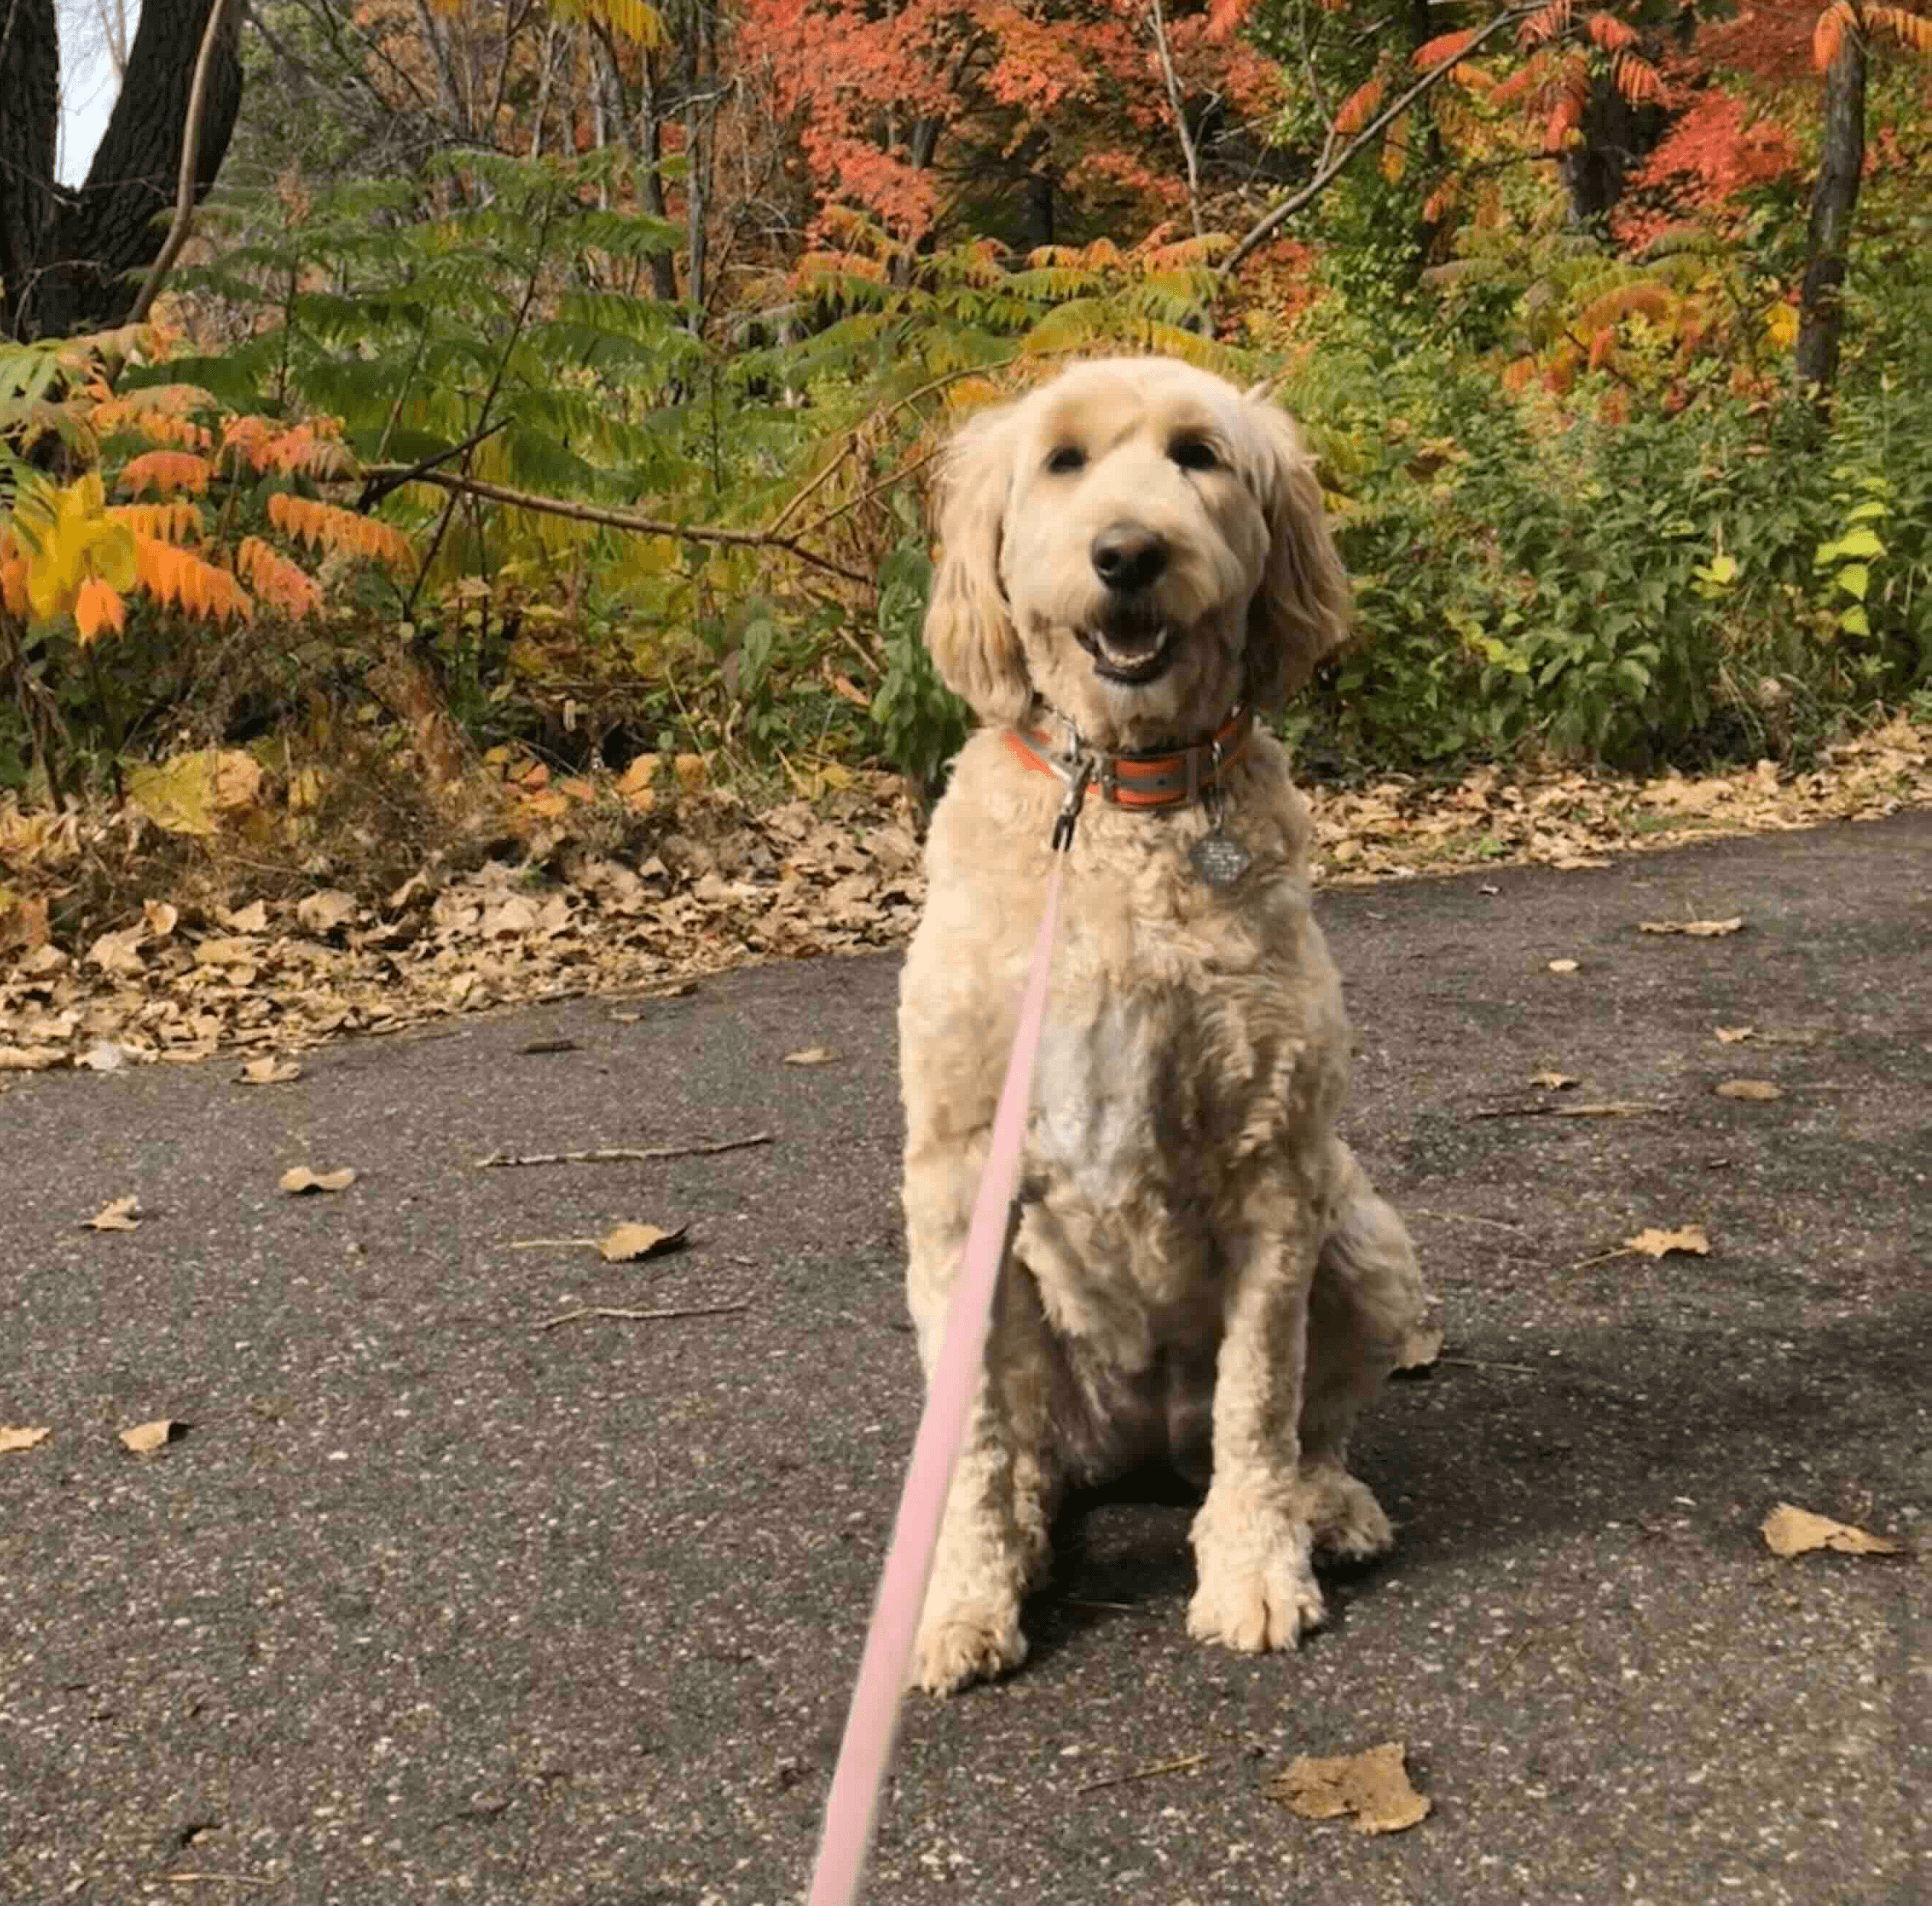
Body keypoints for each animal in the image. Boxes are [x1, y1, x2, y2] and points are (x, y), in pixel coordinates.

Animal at [896, 357, 1429, 1699]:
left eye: (1197, 455)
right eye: (1062, 461)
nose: (1129, 553)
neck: (1122, 804)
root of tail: (1134, 1449)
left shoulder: (1274, 1167)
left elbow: (1260, 1399)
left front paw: (1255, 1571)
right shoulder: (955, 1183)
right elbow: (973, 1440)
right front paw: (960, 1598)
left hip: (1367, 1243)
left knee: (1303, 1423)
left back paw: (1323, 1504)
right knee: (1025, 1454)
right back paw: (1026, 1533)